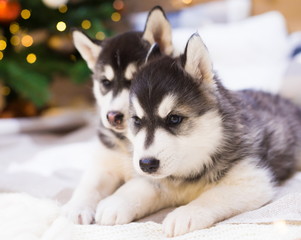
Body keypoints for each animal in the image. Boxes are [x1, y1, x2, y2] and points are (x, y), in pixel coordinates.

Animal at [62, 7, 172, 225]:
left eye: (136, 80)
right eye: (105, 82)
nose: (113, 116)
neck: (129, 142)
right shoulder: (104, 166)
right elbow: (89, 185)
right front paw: (77, 207)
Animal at [94, 33, 300, 236]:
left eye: (174, 119)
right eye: (137, 120)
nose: (146, 164)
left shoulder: (254, 179)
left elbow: (212, 196)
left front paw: (185, 214)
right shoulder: (160, 181)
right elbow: (140, 186)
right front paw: (115, 203)